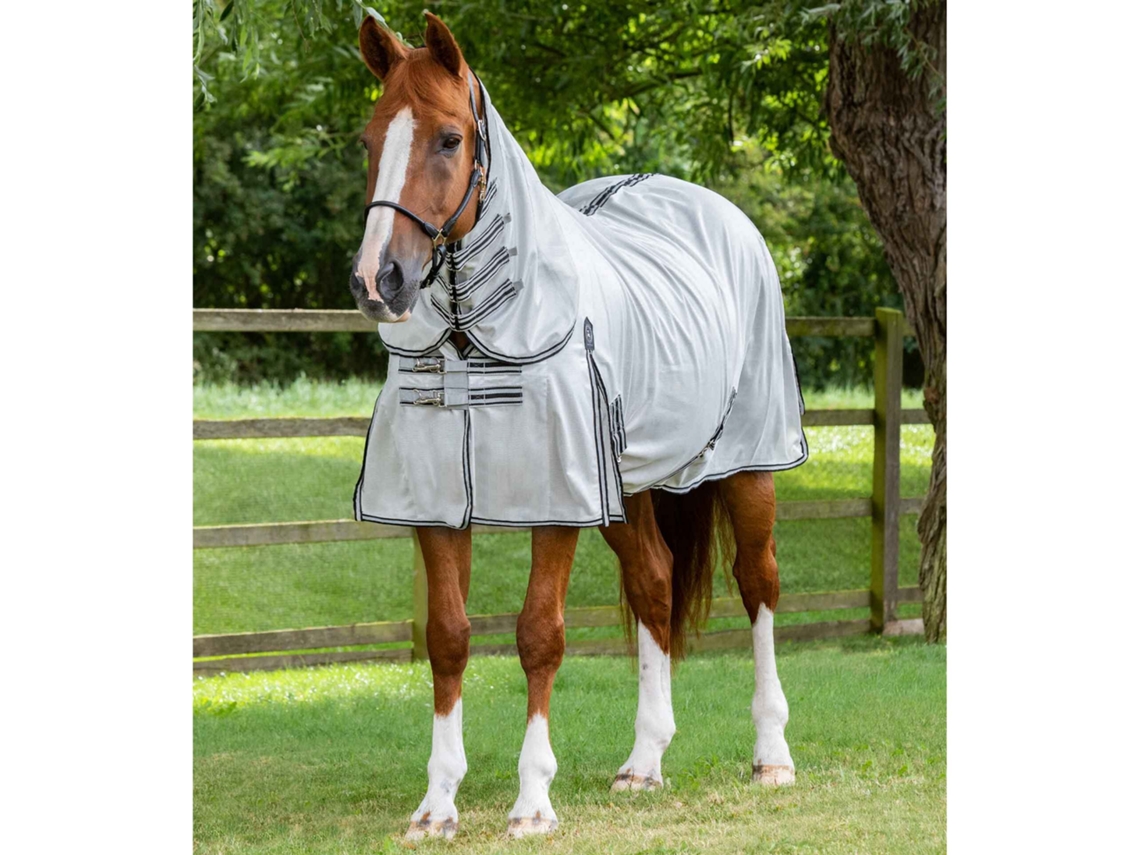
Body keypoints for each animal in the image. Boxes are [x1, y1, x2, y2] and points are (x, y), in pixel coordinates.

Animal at [348, 13, 807, 840]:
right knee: (654, 582)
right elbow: (448, 637)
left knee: (758, 586)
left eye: (449, 139)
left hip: (751, 464)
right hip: (628, 484)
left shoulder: (555, 497)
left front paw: (532, 800)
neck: (472, 337)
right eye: (370, 140)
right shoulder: (434, 503)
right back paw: (644, 761)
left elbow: (539, 634)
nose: (377, 281)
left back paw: (772, 755)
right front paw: (436, 805)